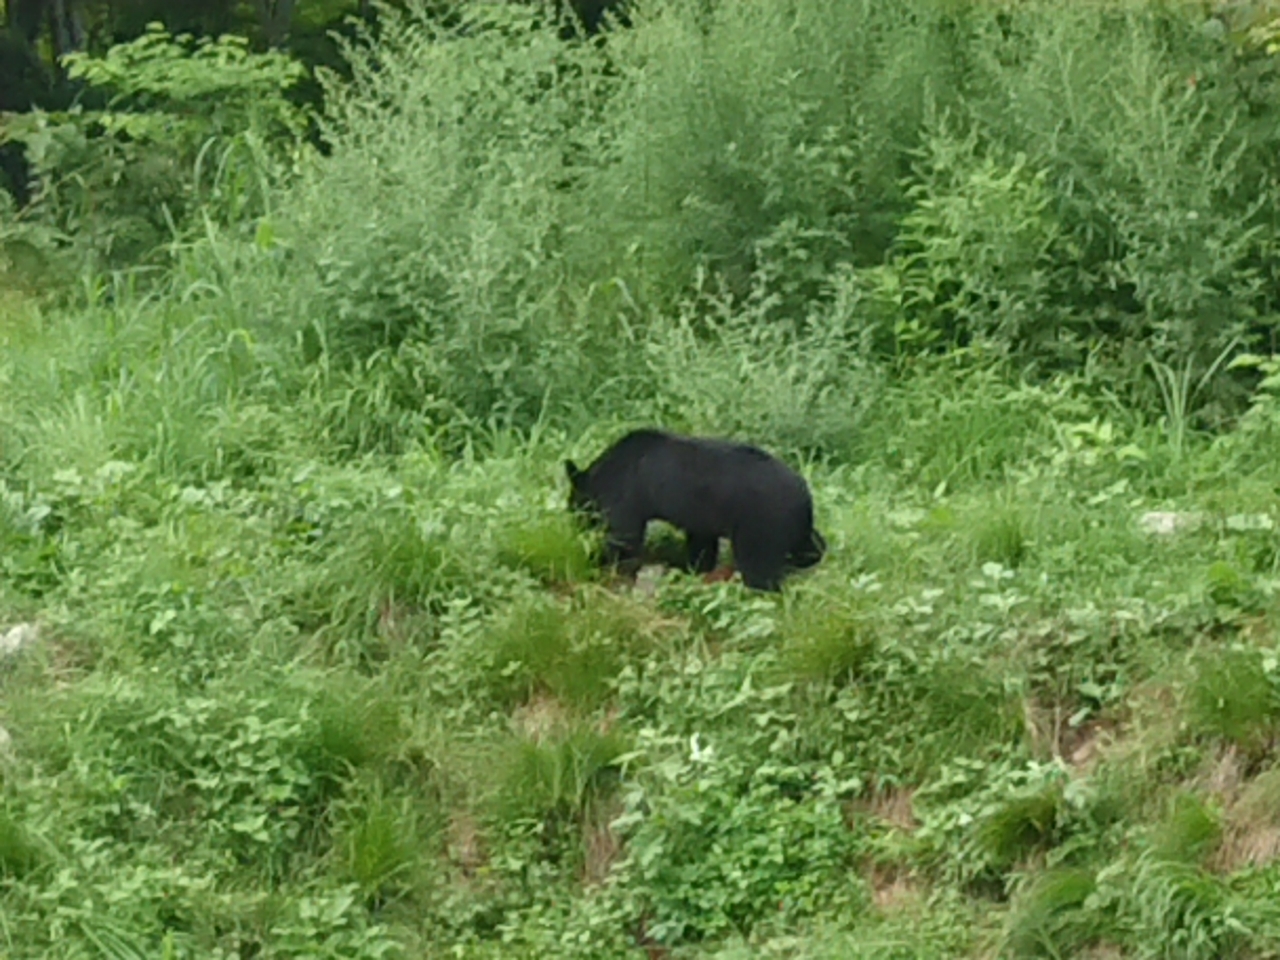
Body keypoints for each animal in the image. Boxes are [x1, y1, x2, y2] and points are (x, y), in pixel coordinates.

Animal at [565, 430, 824, 593]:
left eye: (573, 507)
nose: (575, 526)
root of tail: (804, 495)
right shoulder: (701, 518)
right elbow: (702, 544)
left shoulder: (628, 493)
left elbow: (624, 536)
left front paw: (604, 563)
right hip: (793, 525)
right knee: (811, 546)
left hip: (761, 520)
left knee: (758, 564)